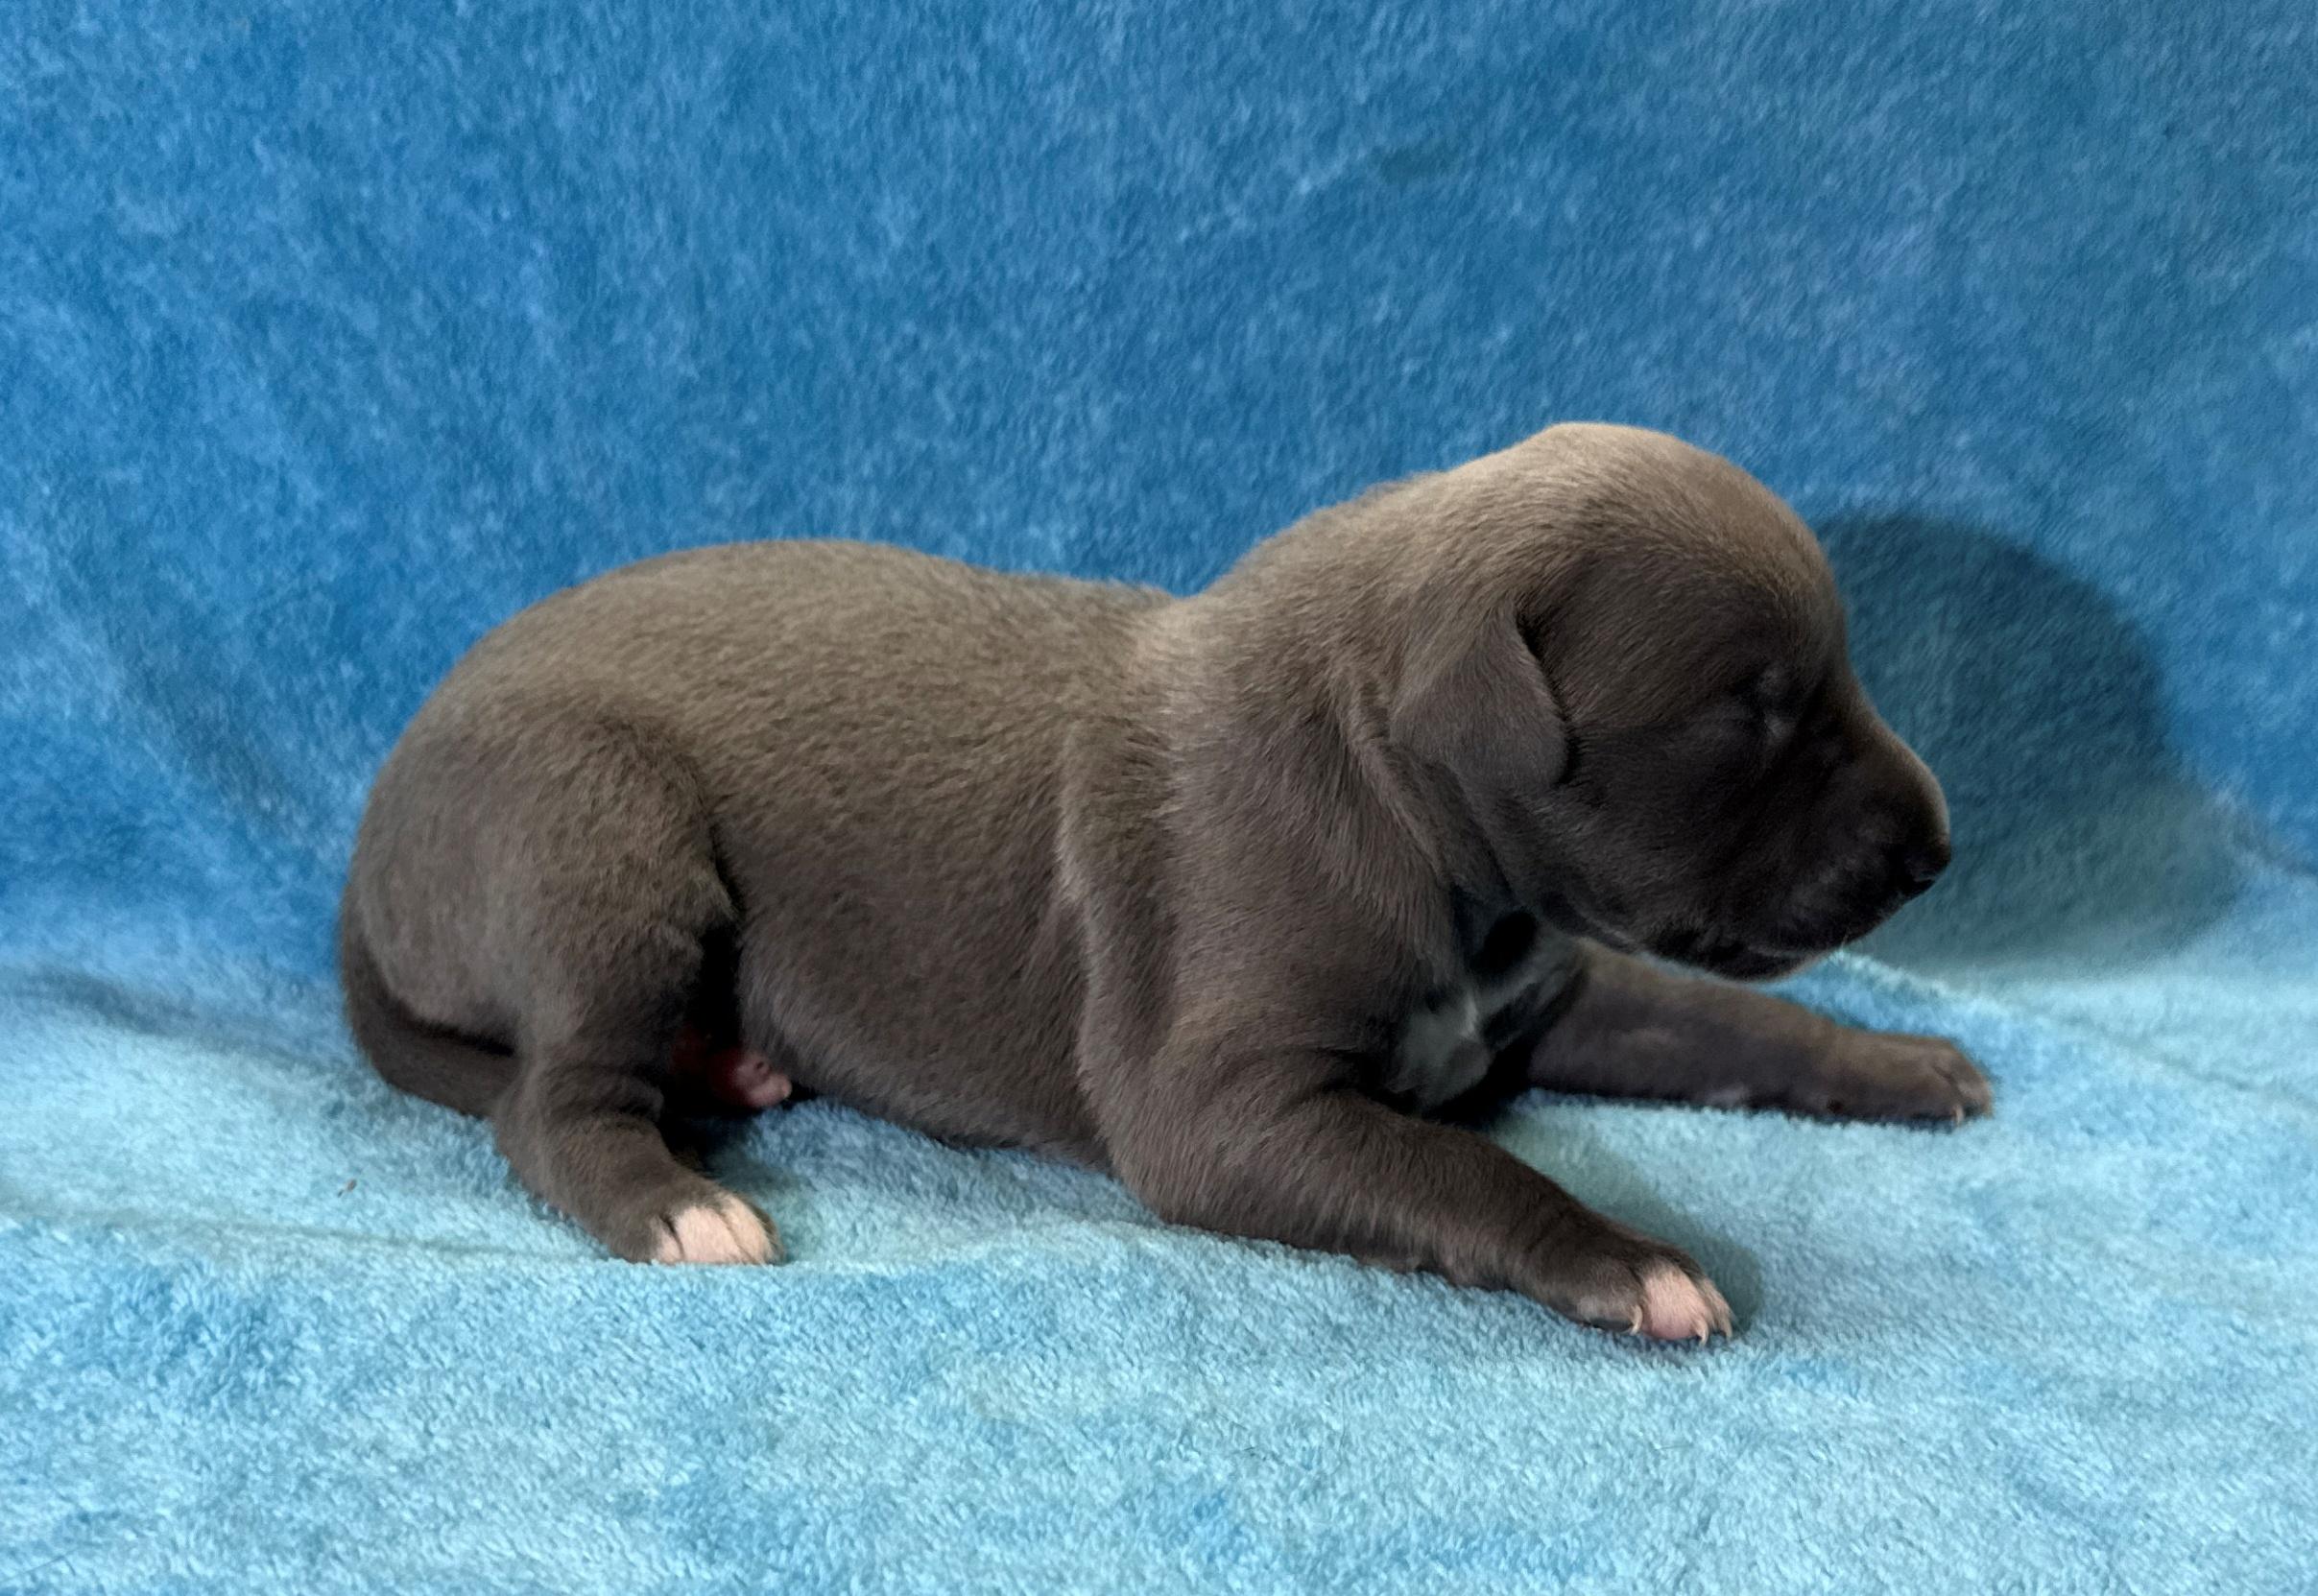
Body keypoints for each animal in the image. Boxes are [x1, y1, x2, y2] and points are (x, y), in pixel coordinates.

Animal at [340, 423, 1987, 1342]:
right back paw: (683, 1203)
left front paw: (1906, 1060)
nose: (1934, 850)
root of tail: (372, 836)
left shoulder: (1544, 987)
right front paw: (1631, 1259)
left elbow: (1731, 1027)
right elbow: (1461, 1168)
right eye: (1749, 710)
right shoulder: (1226, 1105)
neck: (1414, 821)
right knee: (551, 1101)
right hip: (597, 836)